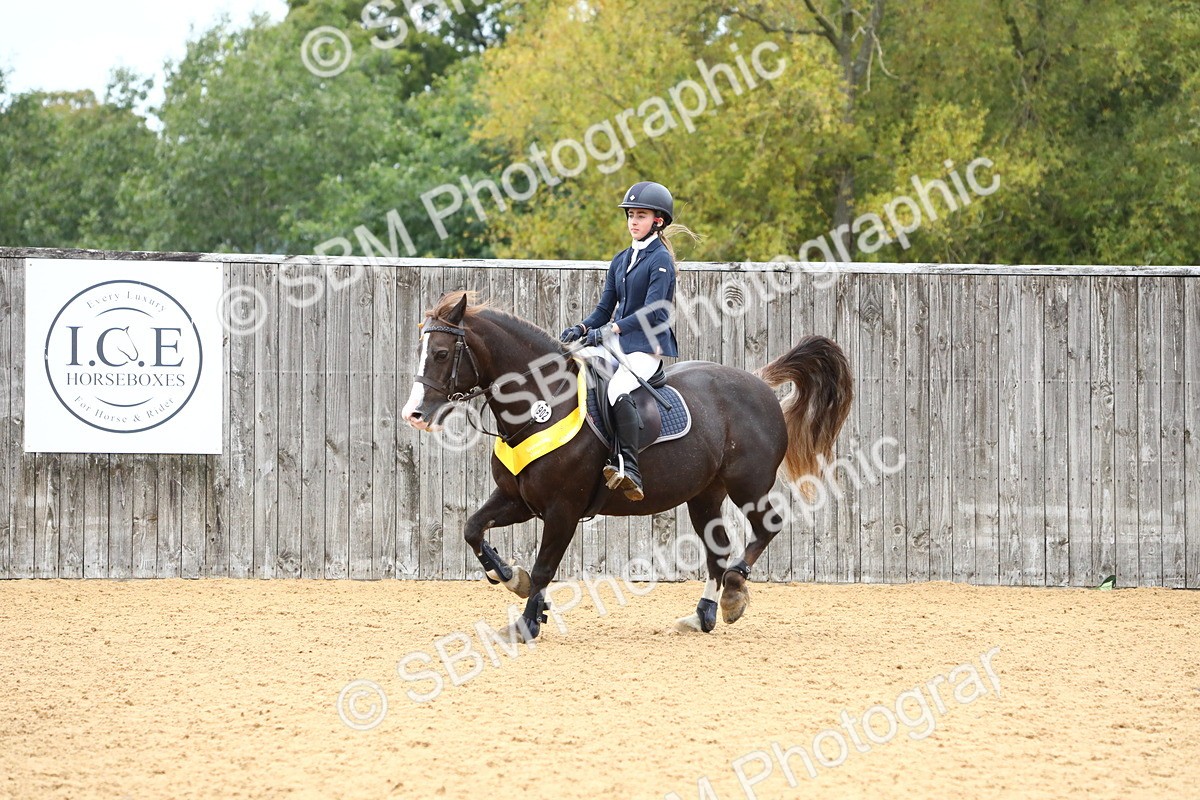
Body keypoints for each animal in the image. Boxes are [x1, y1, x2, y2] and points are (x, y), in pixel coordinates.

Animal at [402, 291, 853, 640]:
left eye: (441, 353)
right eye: (421, 351)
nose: (414, 414)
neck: (543, 404)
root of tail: (759, 382)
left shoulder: (563, 509)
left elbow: (545, 567)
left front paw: (527, 623)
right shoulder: (518, 499)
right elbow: (472, 529)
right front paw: (510, 577)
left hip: (749, 484)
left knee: (765, 527)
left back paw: (735, 591)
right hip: (705, 495)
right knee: (717, 549)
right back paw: (704, 614)